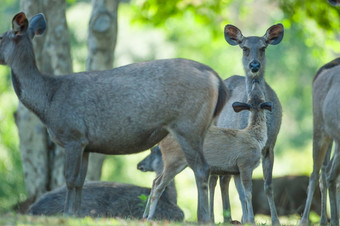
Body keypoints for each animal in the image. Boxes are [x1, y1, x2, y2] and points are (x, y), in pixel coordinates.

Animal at [1, 12, 228, 222]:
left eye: (1, 37)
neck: (47, 103)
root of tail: (216, 78)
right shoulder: (85, 143)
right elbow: (80, 180)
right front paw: (75, 214)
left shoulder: (72, 134)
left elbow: (69, 179)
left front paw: (66, 214)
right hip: (202, 127)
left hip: (188, 125)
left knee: (202, 168)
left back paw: (203, 218)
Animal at [215, 23, 284, 224]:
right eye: (244, 48)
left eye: (263, 47)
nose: (254, 65)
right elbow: (245, 189)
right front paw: (249, 218)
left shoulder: (270, 146)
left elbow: (268, 185)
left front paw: (275, 220)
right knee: (220, 179)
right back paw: (224, 217)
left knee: (224, 179)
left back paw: (230, 217)